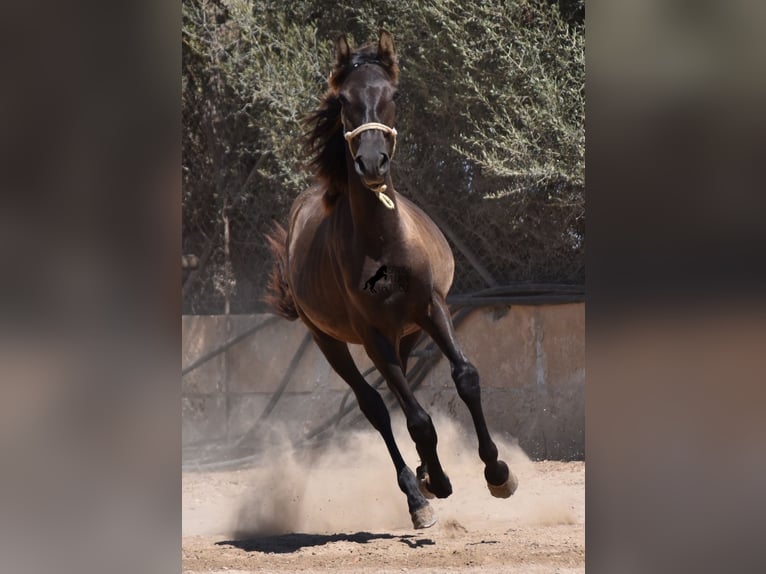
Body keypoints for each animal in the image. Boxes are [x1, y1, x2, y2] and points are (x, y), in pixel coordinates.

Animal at [268, 29, 520, 528]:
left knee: (398, 393)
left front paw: (497, 472)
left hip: (406, 332)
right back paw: (417, 493)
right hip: (331, 341)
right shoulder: (372, 336)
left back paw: (426, 476)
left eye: (394, 95)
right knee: (377, 407)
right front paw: (436, 485)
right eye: (343, 99)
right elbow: (416, 418)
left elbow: (466, 377)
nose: (371, 162)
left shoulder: (431, 309)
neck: (382, 243)